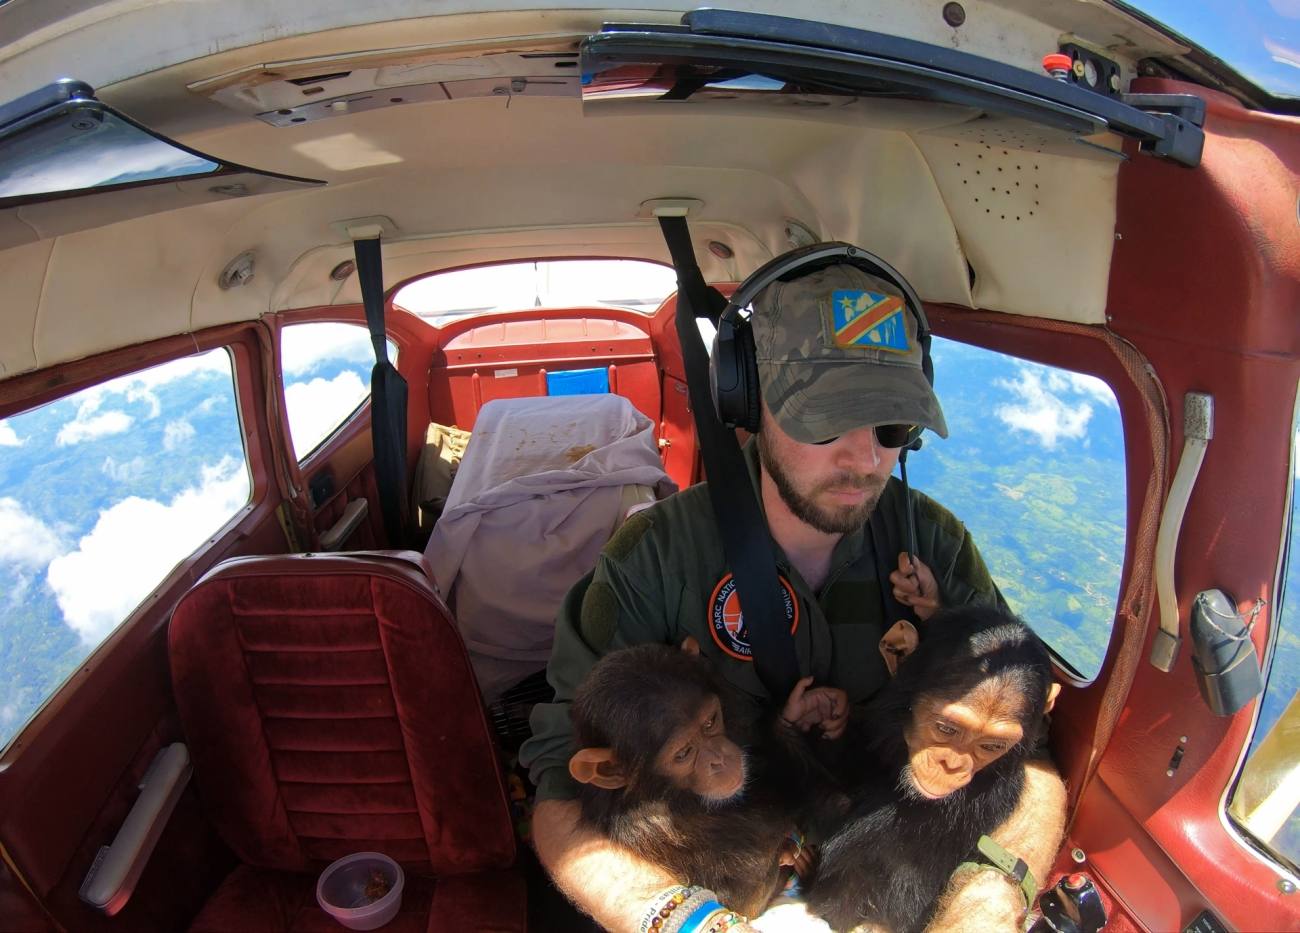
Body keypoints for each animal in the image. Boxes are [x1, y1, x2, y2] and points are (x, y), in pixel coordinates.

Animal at [569, 644, 842, 920]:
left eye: (710, 722)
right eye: (683, 753)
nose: (718, 759)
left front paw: (804, 707)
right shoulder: (656, 827)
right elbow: (748, 897)